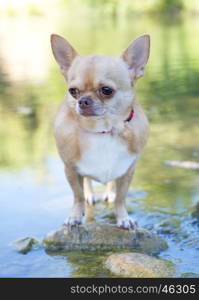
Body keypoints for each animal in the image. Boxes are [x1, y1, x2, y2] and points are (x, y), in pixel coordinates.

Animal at [50, 33, 149, 230]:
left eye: (106, 90)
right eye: (73, 91)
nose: (83, 101)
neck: (103, 131)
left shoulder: (128, 170)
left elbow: (121, 198)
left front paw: (123, 218)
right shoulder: (70, 169)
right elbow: (77, 195)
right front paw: (75, 216)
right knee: (86, 182)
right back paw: (89, 195)